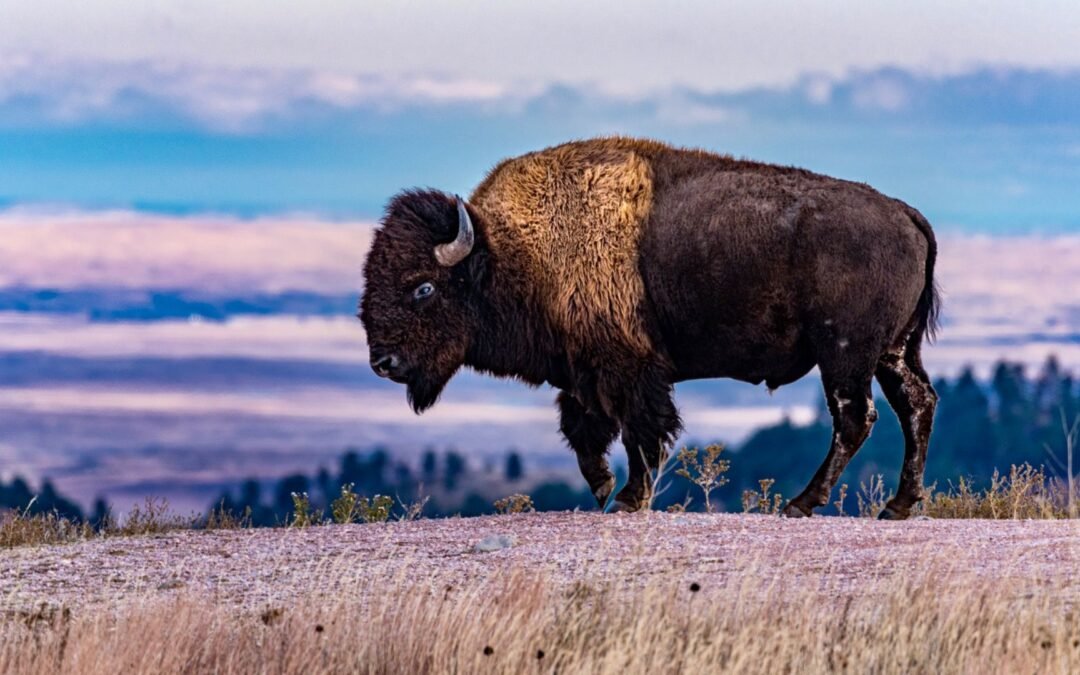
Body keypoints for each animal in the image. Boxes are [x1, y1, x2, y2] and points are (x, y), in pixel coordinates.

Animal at [360, 137, 939, 519]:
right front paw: (602, 488)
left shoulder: (629, 370)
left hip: (844, 354)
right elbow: (585, 431)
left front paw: (625, 499)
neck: (512, 252)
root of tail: (906, 214)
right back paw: (897, 506)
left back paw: (802, 504)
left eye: (423, 288)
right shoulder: (583, 372)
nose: (382, 362)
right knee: (917, 405)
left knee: (855, 418)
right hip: (892, 353)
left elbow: (640, 432)